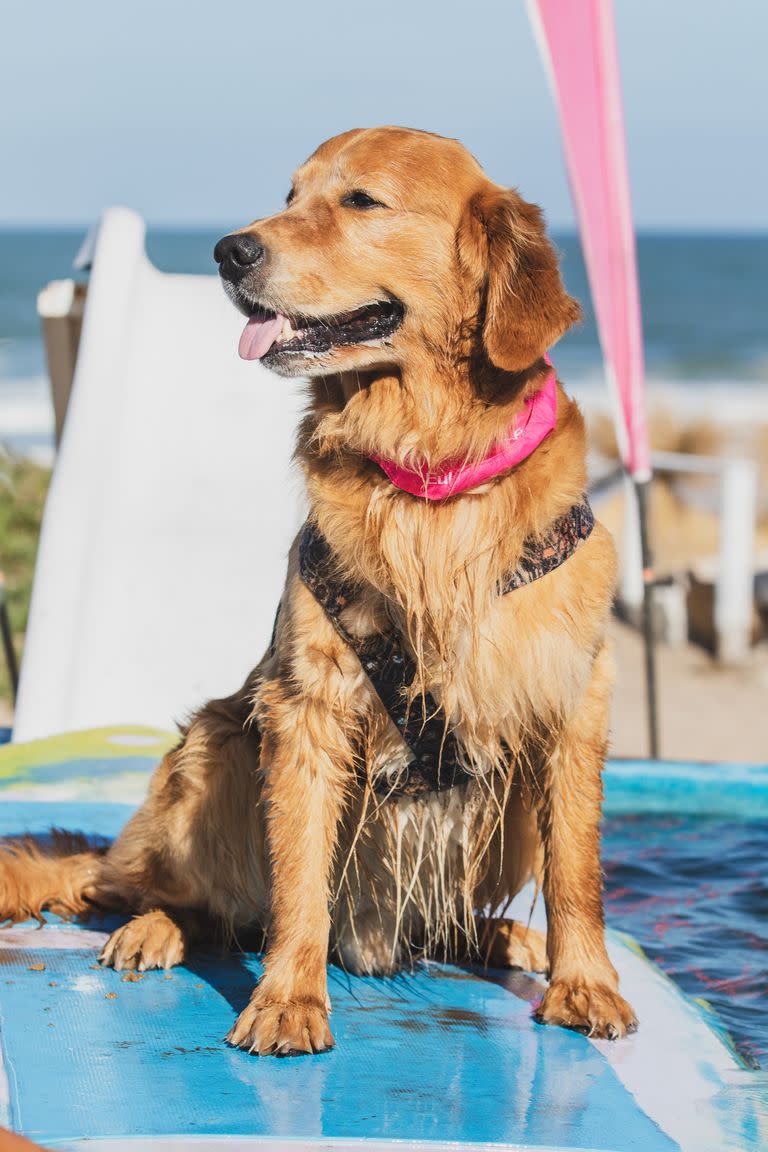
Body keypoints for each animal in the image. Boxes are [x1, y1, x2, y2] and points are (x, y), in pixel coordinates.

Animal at [0, 130, 635, 1055]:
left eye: (362, 201)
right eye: (290, 196)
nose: (229, 251)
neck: (426, 474)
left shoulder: (571, 698)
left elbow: (577, 869)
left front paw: (583, 980)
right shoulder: (306, 704)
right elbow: (298, 879)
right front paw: (289, 999)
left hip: (506, 815)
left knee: (449, 924)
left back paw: (503, 937)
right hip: (215, 747)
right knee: (201, 905)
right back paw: (156, 928)